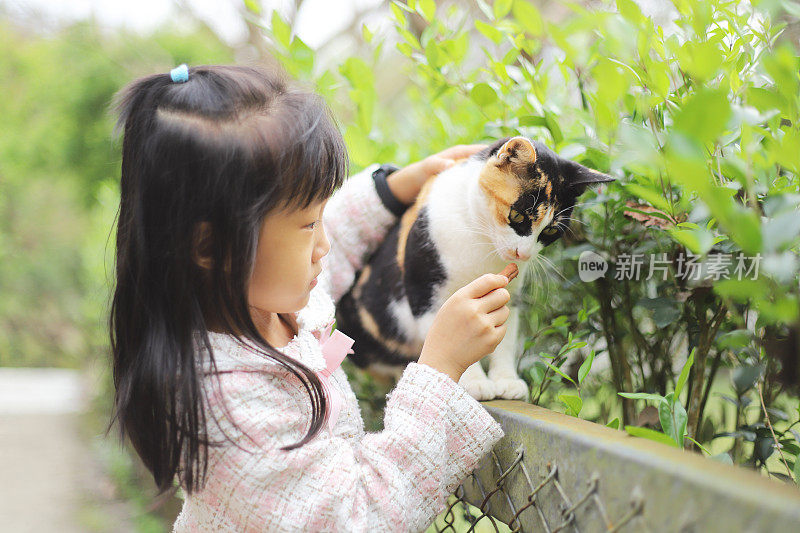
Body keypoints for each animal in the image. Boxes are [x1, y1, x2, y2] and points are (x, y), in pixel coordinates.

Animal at [334, 136, 616, 400]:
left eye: (550, 231)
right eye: (517, 215)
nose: (523, 253)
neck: (482, 244)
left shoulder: (509, 292)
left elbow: (506, 338)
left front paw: (506, 381)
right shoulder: (424, 289)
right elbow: (448, 332)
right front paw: (473, 382)